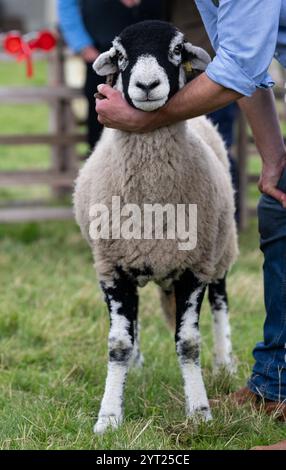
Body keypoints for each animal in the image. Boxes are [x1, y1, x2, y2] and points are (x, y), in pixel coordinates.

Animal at [72, 21, 238, 434]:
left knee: (221, 301)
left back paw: (225, 363)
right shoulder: (113, 268)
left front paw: (200, 411)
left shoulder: (194, 267)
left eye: (177, 49)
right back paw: (136, 366)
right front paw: (109, 416)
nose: (147, 85)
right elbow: (118, 343)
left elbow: (189, 343)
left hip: (221, 248)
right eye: (119, 54)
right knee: (133, 324)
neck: (152, 201)